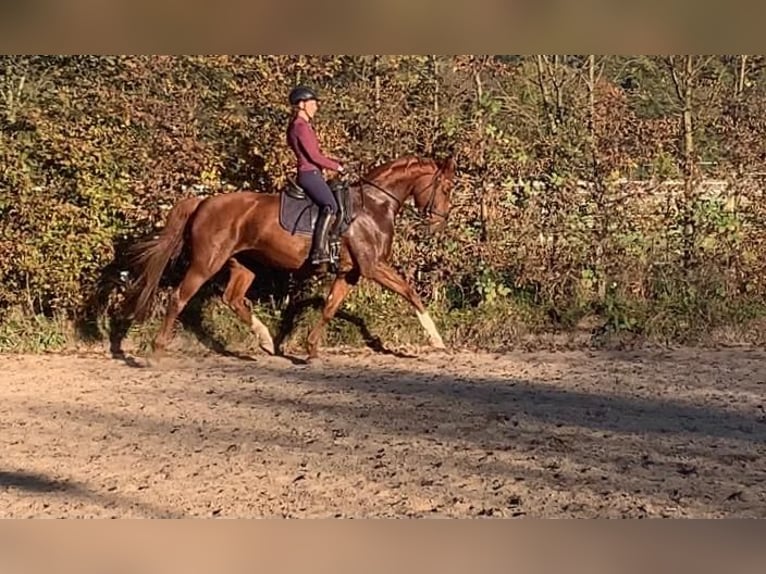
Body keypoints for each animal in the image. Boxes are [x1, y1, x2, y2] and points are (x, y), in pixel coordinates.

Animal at [121, 154, 456, 360]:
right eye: (446, 187)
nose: (439, 223)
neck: (374, 205)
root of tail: (203, 201)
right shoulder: (373, 267)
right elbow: (410, 292)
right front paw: (437, 339)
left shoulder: (350, 272)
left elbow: (330, 307)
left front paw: (311, 348)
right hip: (206, 263)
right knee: (179, 297)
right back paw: (157, 351)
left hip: (244, 265)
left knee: (233, 299)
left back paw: (266, 340)